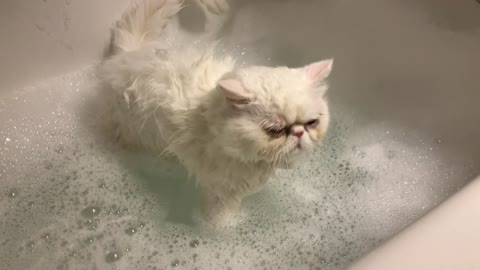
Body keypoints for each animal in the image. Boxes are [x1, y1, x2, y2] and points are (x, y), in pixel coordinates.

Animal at [96, 0, 330, 224]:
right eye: (275, 130)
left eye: (311, 123)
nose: (299, 133)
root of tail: (127, 54)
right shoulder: (221, 194)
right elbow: (218, 222)